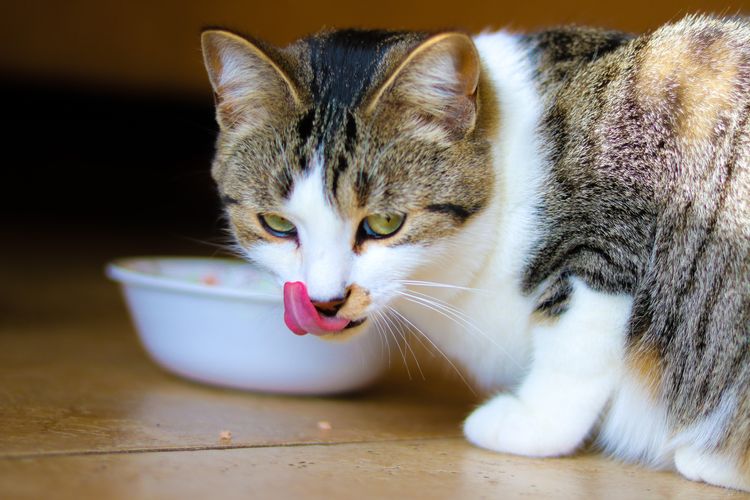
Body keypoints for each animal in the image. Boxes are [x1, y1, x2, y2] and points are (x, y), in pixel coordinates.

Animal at [201, 16, 750, 492]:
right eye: (277, 225)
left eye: (384, 224)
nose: (325, 301)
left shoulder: (616, 222)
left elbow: (575, 344)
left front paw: (532, 423)